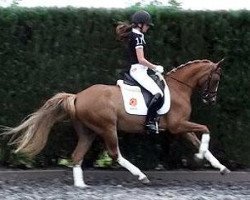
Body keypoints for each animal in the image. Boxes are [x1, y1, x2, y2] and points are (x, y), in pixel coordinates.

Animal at [0, 59, 229, 188]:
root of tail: (77, 96)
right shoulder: (177, 125)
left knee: (77, 155)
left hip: (88, 132)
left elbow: (198, 139)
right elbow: (205, 129)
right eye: (216, 79)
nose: (211, 100)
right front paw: (200, 155)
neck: (179, 88)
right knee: (114, 153)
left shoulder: (181, 126)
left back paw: (81, 186)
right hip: (107, 127)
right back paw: (141, 176)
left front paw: (220, 167)